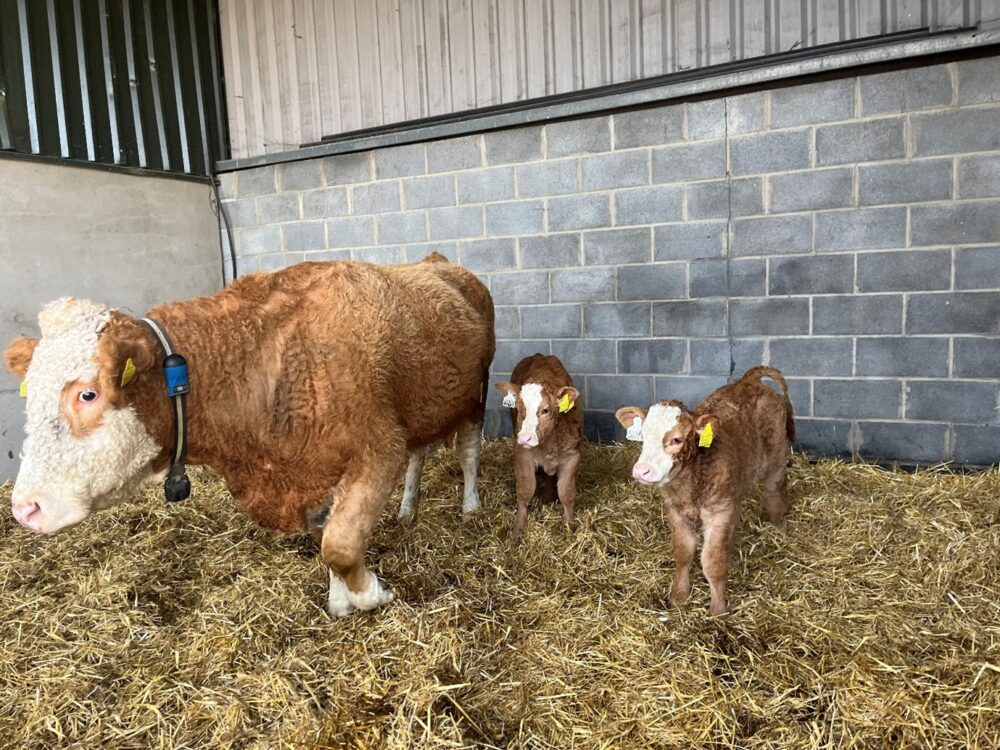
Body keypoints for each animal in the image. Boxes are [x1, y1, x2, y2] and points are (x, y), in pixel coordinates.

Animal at [3, 254, 495, 617]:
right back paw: (408, 508)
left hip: (476, 393)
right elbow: (329, 536)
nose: (25, 508)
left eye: (87, 394)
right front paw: (341, 600)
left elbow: (339, 544)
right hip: (424, 405)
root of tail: (438, 262)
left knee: (468, 453)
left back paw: (471, 506)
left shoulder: (378, 449)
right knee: (420, 453)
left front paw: (373, 592)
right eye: (29, 395)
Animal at [494, 354, 582, 536]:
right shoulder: (522, 453)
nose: (525, 438)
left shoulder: (573, 455)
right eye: (520, 410)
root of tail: (539, 355)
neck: (549, 443)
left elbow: (566, 493)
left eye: (545, 410)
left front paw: (570, 526)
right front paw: (517, 530)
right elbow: (525, 490)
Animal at [615, 366, 795, 616]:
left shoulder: (719, 512)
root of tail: (749, 380)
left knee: (774, 493)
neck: (689, 486)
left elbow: (713, 561)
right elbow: (683, 553)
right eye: (643, 438)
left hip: (776, 458)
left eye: (676, 439)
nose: (642, 470)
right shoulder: (676, 511)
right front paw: (679, 596)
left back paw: (779, 528)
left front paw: (718, 610)